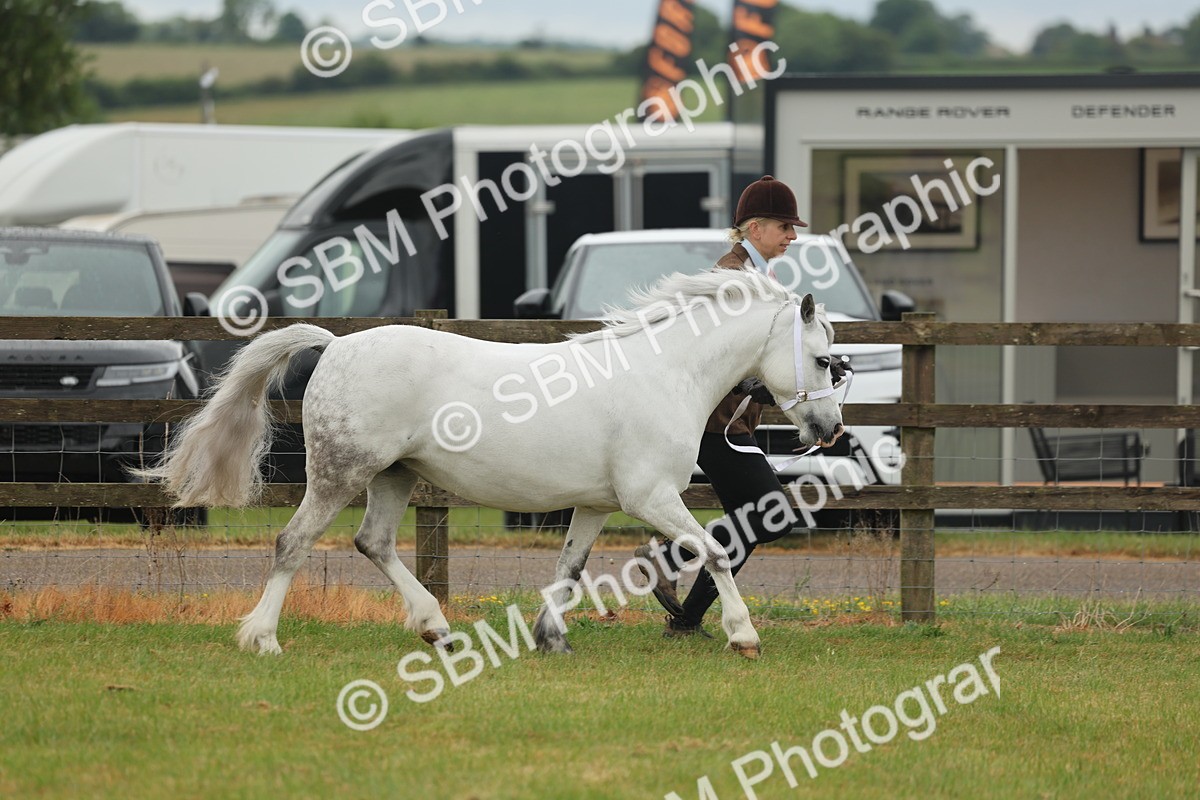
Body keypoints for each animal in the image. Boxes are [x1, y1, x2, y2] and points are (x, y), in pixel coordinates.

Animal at [137, 268, 844, 659]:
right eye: (821, 358)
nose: (829, 429)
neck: (665, 372)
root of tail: (336, 345)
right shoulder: (652, 498)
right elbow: (718, 552)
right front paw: (743, 635)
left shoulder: (597, 504)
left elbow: (569, 569)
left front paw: (550, 638)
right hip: (341, 474)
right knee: (293, 542)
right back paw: (262, 638)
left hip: (394, 477)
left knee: (374, 543)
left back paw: (437, 629)